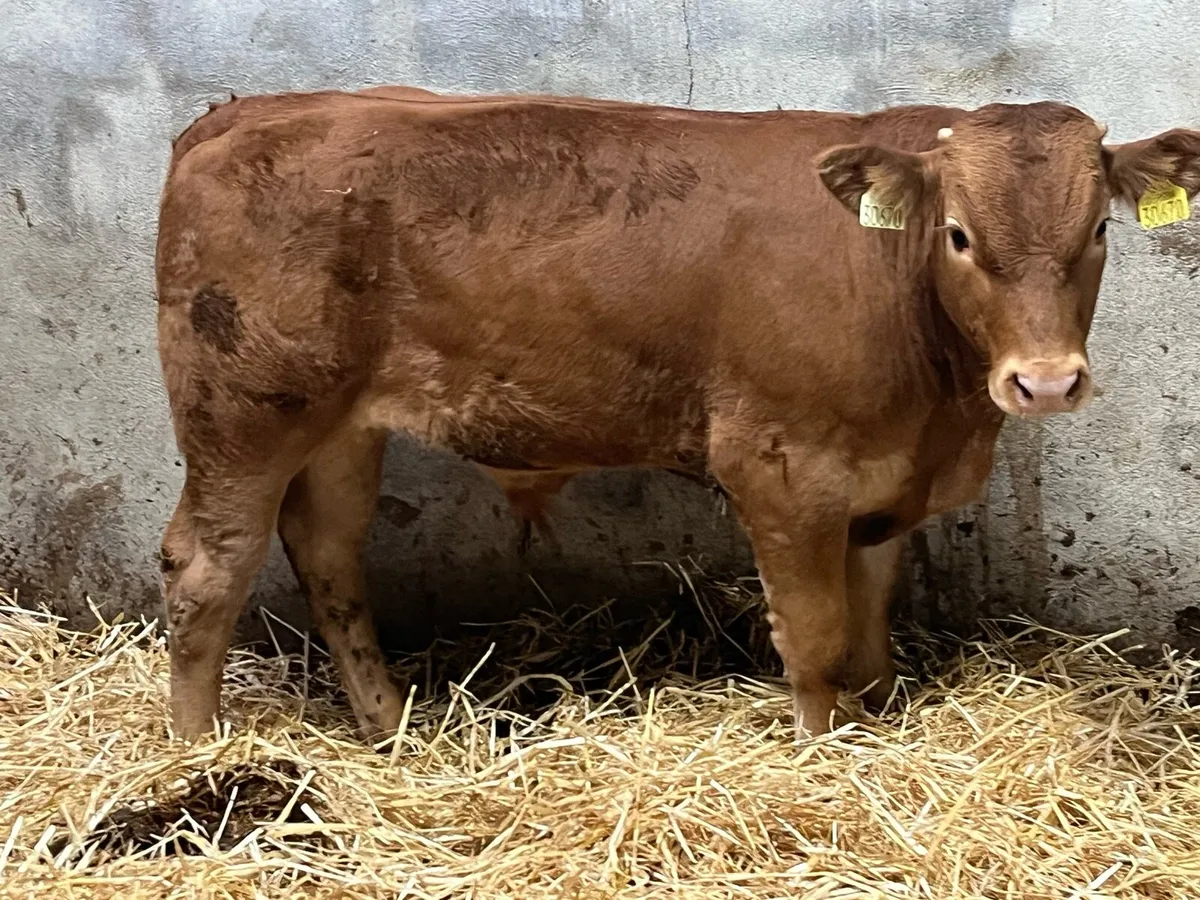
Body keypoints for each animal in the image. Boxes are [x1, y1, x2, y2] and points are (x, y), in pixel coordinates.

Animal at [155, 85, 1200, 743]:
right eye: (959, 236)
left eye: (1098, 229)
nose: (1046, 383)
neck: (939, 421)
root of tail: (245, 113)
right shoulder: (780, 468)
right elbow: (816, 639)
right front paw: (821, 755)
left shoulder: (880, 486)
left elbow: (870, 642)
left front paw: (875, 730)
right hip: (243, 413)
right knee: (206, 567)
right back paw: (200, 753)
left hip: (339, 425)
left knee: (329, 557)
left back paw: (387, 726)